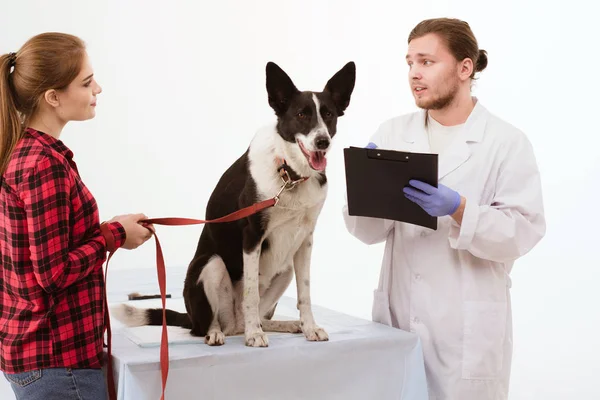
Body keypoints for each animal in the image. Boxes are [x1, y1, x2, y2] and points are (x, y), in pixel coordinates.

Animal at [113, 60, 352, 346]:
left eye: (328, 114)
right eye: (301, 115)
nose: (322, 141)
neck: (289, 173)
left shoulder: (305, 239)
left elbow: (304, 294)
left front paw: (309, 328)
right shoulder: (252, 235)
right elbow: (251, 294)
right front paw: (255, 335)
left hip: (285, 270)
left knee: (256, 316)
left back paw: (280, 325)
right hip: (210, 264)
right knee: (209, 325)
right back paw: (221, 332)